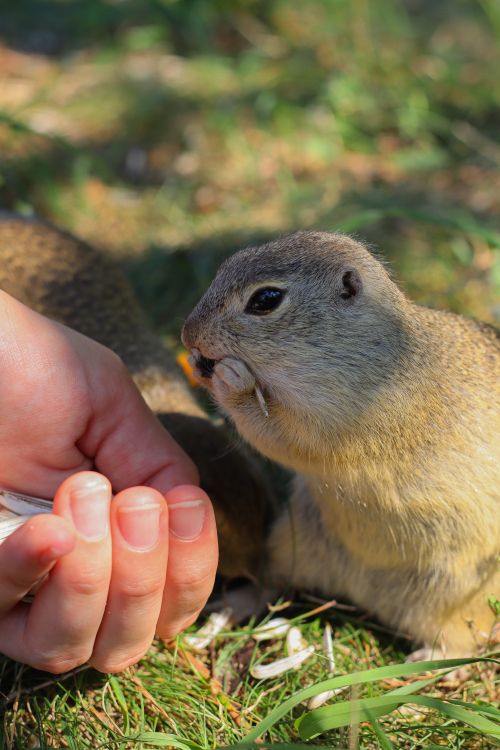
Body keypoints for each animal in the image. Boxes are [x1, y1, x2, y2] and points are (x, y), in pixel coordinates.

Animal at [182, 230, 500, 657]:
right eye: (228, 263)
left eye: (266, 299)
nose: (187, 334)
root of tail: (364, 597)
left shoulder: (341, 421)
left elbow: (281, 437)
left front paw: (229, 380)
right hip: (292, 543)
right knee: (271, 583)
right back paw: (229, 609)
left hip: (451, 602)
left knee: (460, 643)